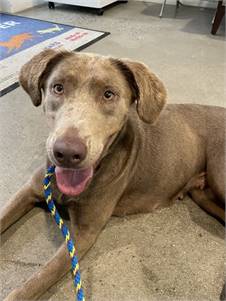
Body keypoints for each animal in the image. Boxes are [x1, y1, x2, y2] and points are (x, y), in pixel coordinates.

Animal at [0, 48, 225, 298]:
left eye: (109, 94)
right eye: (58, 87)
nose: (67, 153)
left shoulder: (84, 233)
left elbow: (38, 279)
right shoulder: (28, 190)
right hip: (203, 195)